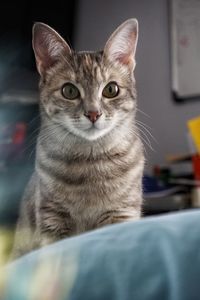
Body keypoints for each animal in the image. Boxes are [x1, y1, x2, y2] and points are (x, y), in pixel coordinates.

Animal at [11, 18, 144, 258]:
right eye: (70, 91)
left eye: (111, 89)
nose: (93, 113)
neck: (90, 162)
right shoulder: (51, 219)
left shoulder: (121, 214)